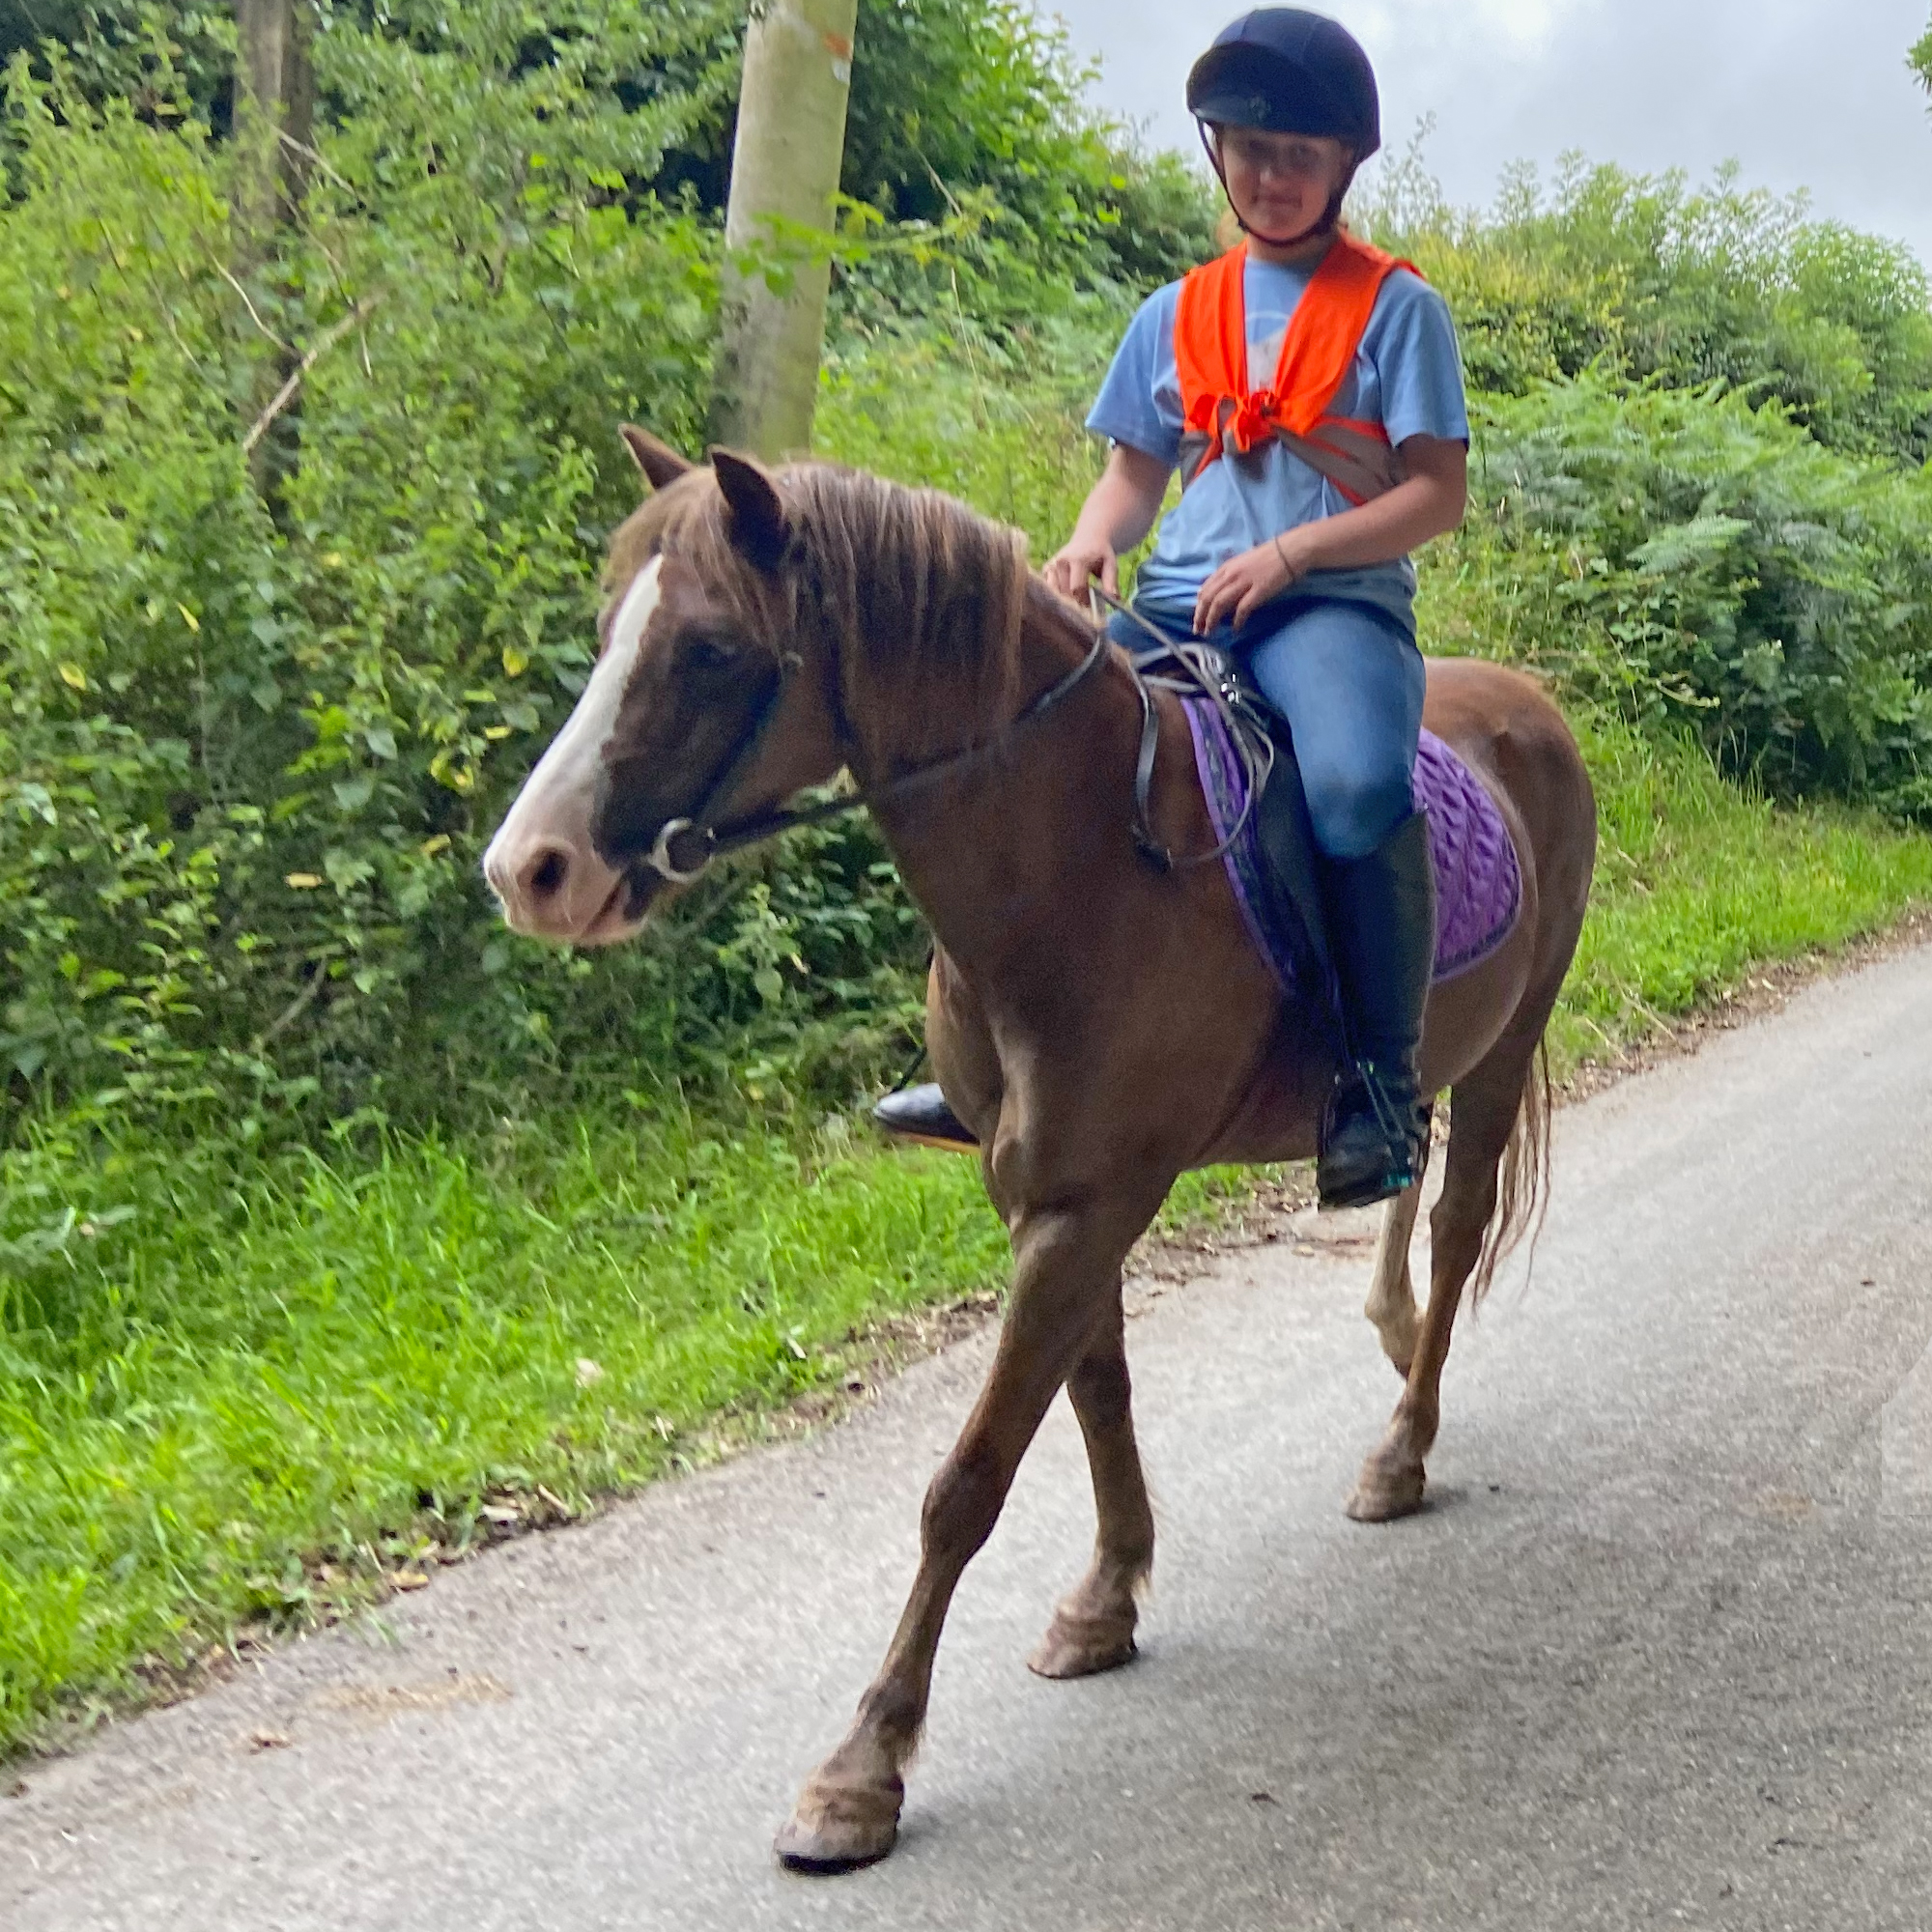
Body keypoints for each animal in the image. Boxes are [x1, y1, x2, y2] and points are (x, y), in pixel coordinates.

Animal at [483, 429, 1597, 1873]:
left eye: (713, 647)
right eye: (610, 623)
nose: (530, 869)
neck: (1078, 868)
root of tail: (1529, 705)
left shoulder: (1086, 1202)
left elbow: (967, 1479)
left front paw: (861, 1769)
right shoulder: (1045, 1200)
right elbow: (1097, 1393)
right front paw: (1106, 1600)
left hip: (1510, 1040)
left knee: (1460, 1226)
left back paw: (1400, 1450)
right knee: (1410, 1182)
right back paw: (1391, 1325)